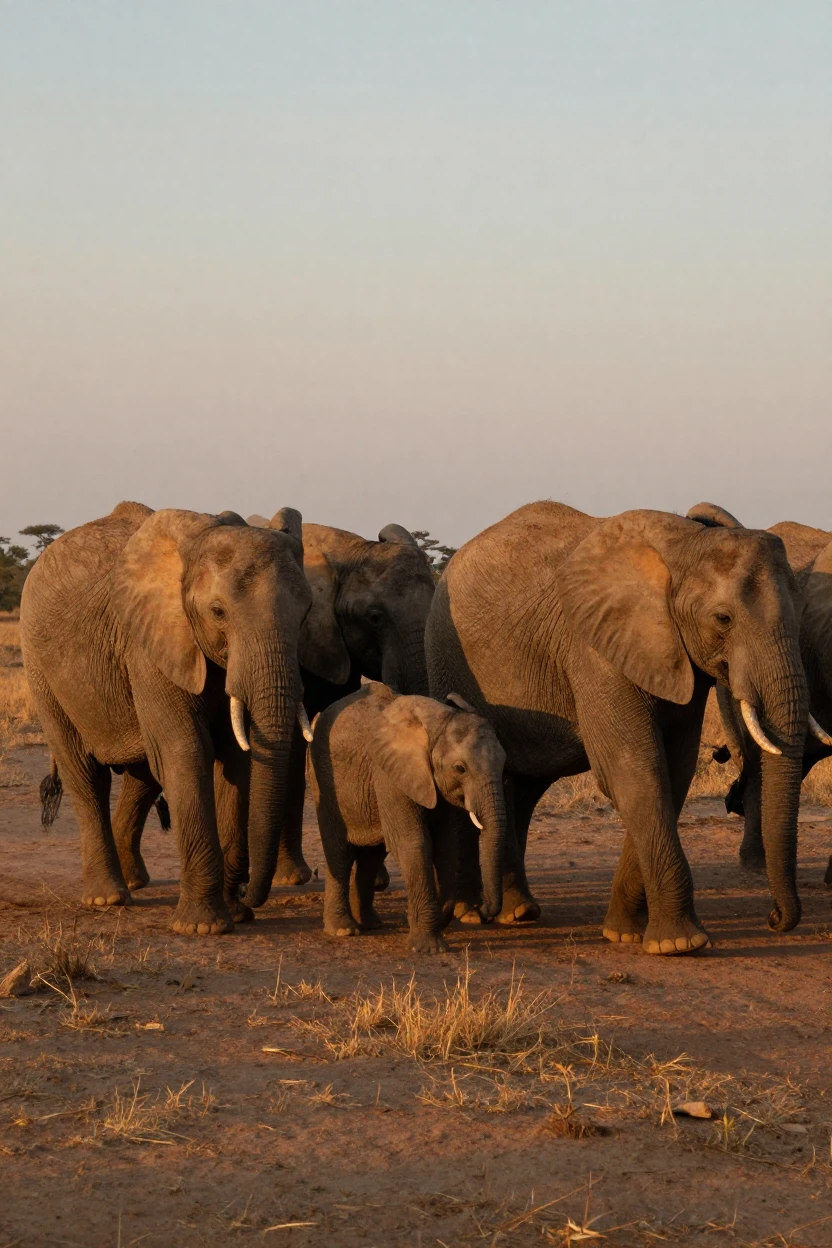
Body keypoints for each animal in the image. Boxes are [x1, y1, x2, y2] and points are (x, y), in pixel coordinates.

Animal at [21, 501, 313, 934]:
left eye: (306, 614)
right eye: (218, 611)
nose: (248, 896)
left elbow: (237, 760)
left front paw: (233, 914)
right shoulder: (148, 648)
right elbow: (185, 752)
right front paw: (203, 927)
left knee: (143, 775)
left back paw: (133, 881)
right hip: (40, 668)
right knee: (85, 773)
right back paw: (108, 897)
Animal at [306, 682, 506, 953]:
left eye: (504, 765)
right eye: (460, 769)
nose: (483, 913)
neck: (438, 723)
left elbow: (445, 847)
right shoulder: (390, 775)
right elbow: (415, 843)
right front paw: (429, 948)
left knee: (372, 854)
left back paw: (370, 924)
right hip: (323, 779)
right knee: (339, 853)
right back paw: (343, 930)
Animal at [425, 501, 808, 954]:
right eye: (723, 618)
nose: (774, 919)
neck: (684, 545)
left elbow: (673, 773)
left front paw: (624, 933)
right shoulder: (594, 649)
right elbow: (633, 770)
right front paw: (680, 944)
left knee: (522, 786)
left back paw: (517, 912)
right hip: (446, 655)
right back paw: (472, 913)